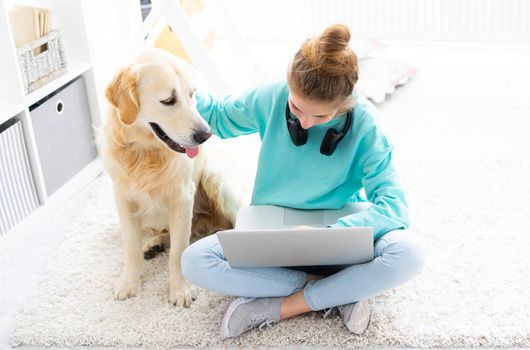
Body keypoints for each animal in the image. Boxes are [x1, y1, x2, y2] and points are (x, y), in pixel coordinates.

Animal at [98, 48, 240, 306]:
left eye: (192, 94)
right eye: (168, 100)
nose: (205, 135)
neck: (145, 153)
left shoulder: (182, 199)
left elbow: (179, 250)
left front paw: (180, 289)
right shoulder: (123, 198)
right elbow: (130, 245)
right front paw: (129, 282)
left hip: (216, 178)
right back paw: (154, 244)